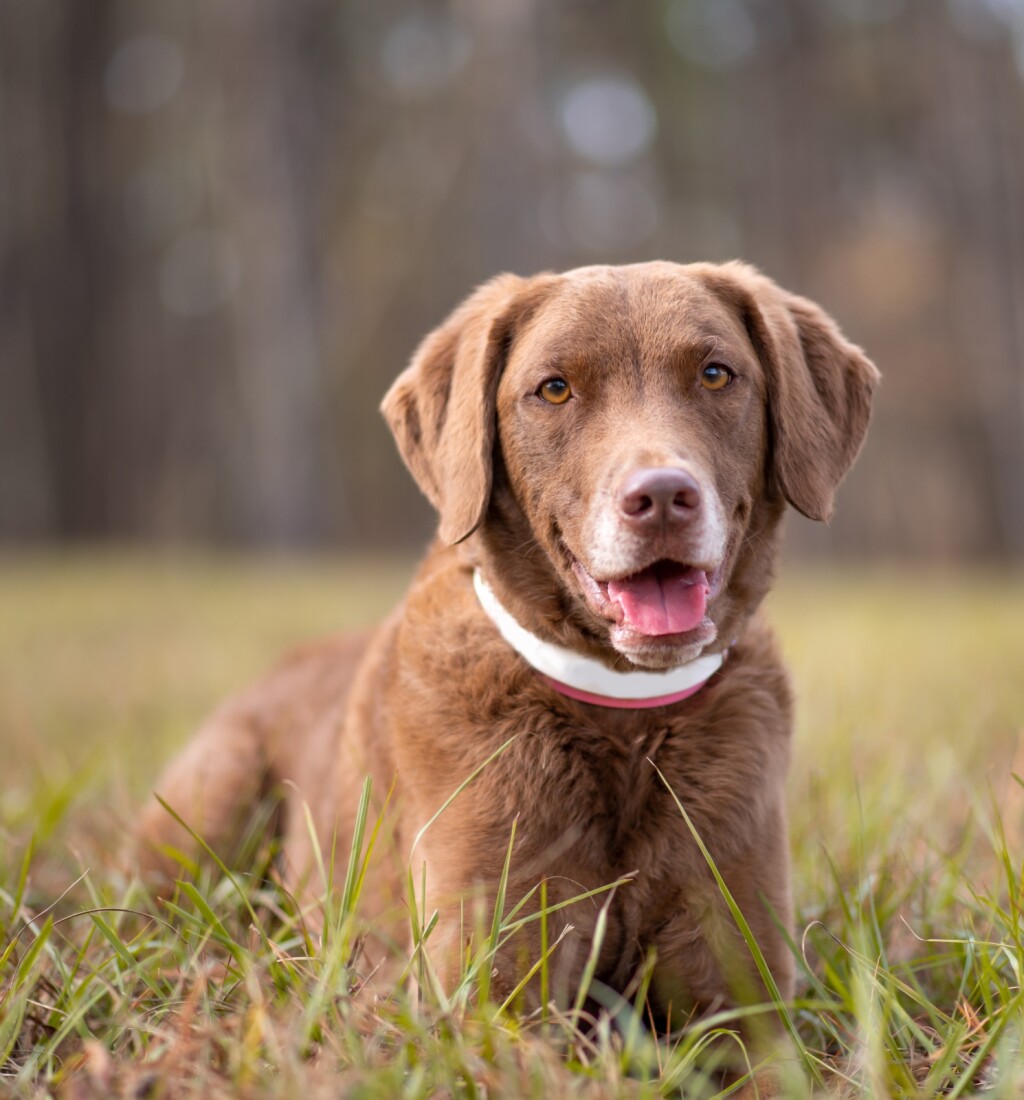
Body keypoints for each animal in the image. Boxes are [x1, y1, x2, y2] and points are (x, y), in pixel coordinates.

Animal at [131, 261, 875, 1025]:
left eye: (717, 373)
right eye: (554, 389)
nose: (664, 497)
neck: (625, 722)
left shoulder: (741, 996)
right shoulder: (492, 994)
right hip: (215, 795)